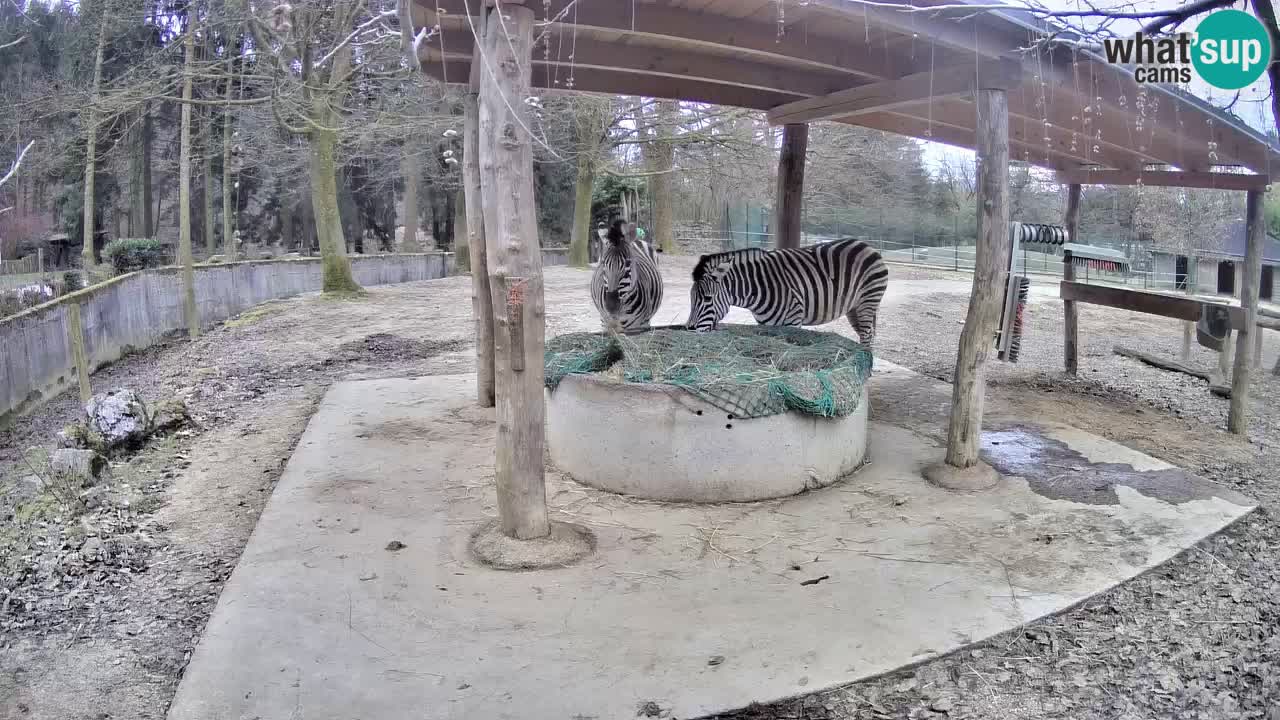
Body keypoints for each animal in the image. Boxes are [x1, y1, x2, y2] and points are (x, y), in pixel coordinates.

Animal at [686, 237, 885, 345]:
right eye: (691, 299)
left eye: (708, 298)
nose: (689, 329)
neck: (760, 286)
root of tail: (866, 245)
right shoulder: (767, 325)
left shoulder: (792, 323)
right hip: (854, 307)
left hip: (868, 301)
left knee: (867, 335)